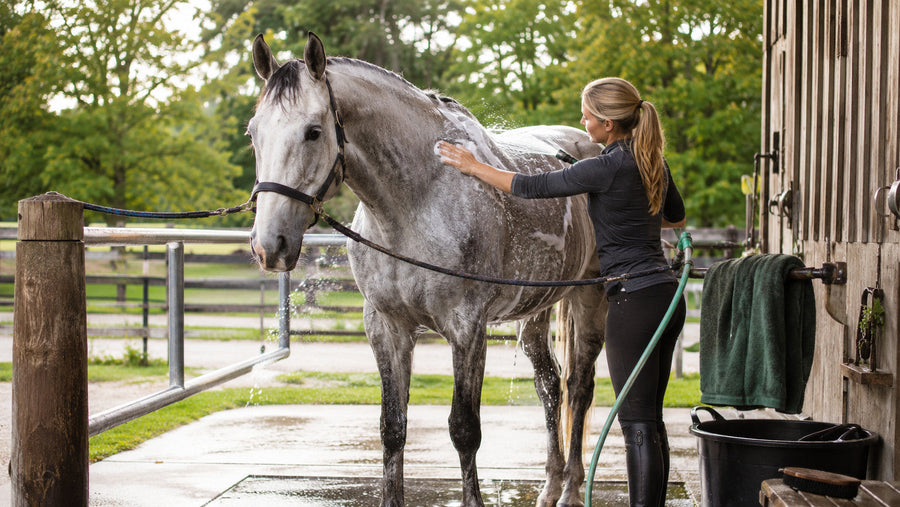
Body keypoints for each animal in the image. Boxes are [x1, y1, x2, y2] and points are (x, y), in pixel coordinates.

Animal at [248, 32, 608, 507]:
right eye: (254, 133)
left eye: (313, 132)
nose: (269, 245)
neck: (414, 202)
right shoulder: (387, 326)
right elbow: (393, 427)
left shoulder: (467, 328)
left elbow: (464, 430)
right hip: (535, 310)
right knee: (549, 386)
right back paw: (549, 487)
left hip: (590, 295)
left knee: (579, 388)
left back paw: (570, 488)